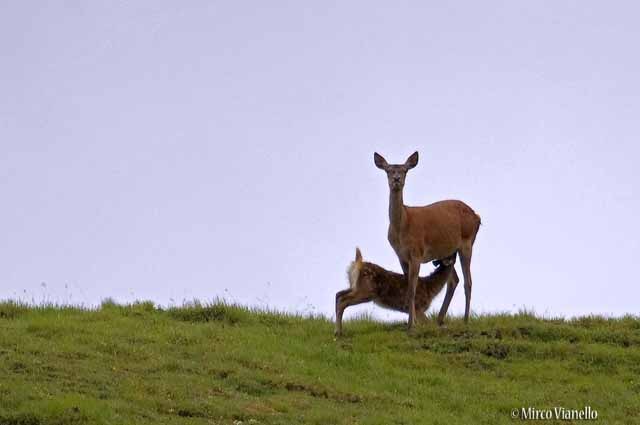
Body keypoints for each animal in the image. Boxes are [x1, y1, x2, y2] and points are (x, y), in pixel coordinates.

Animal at [374, 151, 481, 331]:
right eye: (388, 171)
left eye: (405, 171)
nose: (396, 179)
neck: (403, 226)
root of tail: (477, 217)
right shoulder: (402, 256)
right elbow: (409, 288)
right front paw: (414, 321)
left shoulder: (416, 253)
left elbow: (412, 289)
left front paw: (411, 325)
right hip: (447, 251)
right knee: (454, 280)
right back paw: (440, 319)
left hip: (467, 242)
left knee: (468, 281)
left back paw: (466, 320)